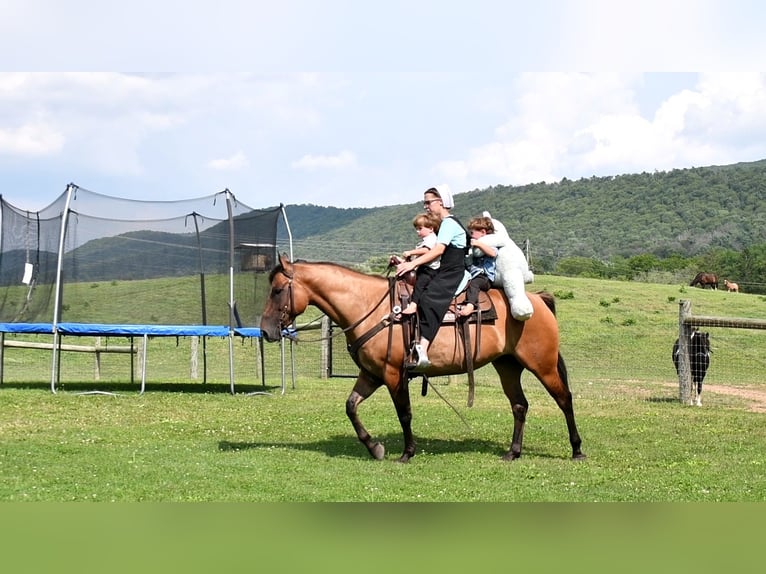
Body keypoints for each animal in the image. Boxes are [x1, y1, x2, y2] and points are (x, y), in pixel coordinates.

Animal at [260, 254, 588, 466]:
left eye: (277, 290)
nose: (265, 330)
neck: (370, 307)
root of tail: (537, 299)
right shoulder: (372, 374)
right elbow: (351, 407)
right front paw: (375, 447)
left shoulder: (393, 374)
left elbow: (404, 414)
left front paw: (406, 452)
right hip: (507, 365)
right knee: (520, 405)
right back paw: (513, 452)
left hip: (542, 364)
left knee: (564, 399)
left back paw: (576, 450)